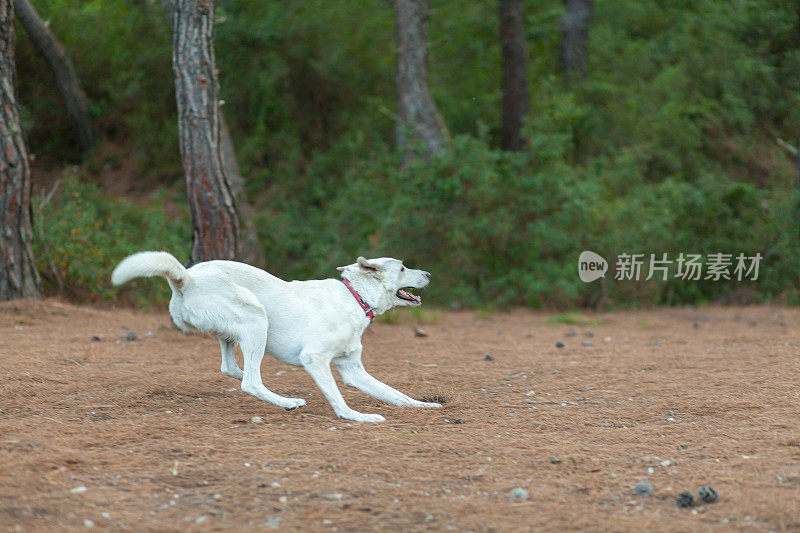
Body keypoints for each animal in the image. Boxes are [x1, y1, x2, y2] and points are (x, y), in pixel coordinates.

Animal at [110, 251, 440, 422]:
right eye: (402, 268)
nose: (429, 275)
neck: (355, 297)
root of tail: (186, 279)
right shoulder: (315, 360)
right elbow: (337, 397)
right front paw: (356, 416)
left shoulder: (353, 370)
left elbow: (395, 394)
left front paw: (426, 406)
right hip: (256, 319)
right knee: (250, 382)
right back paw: (287, 402)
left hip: (238, 328)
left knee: (231, 368)